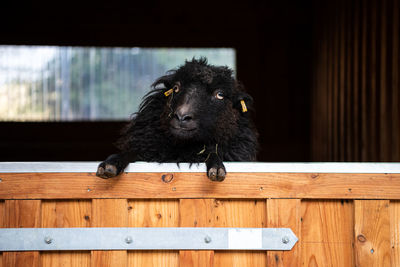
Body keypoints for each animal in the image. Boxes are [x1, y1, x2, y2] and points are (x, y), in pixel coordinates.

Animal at [97, 57, 260, 181]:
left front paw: (216, 167)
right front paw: (111, 164)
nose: (181, 116)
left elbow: (212, 152)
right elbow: (131, 152)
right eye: (176, 88)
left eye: (219, 94)